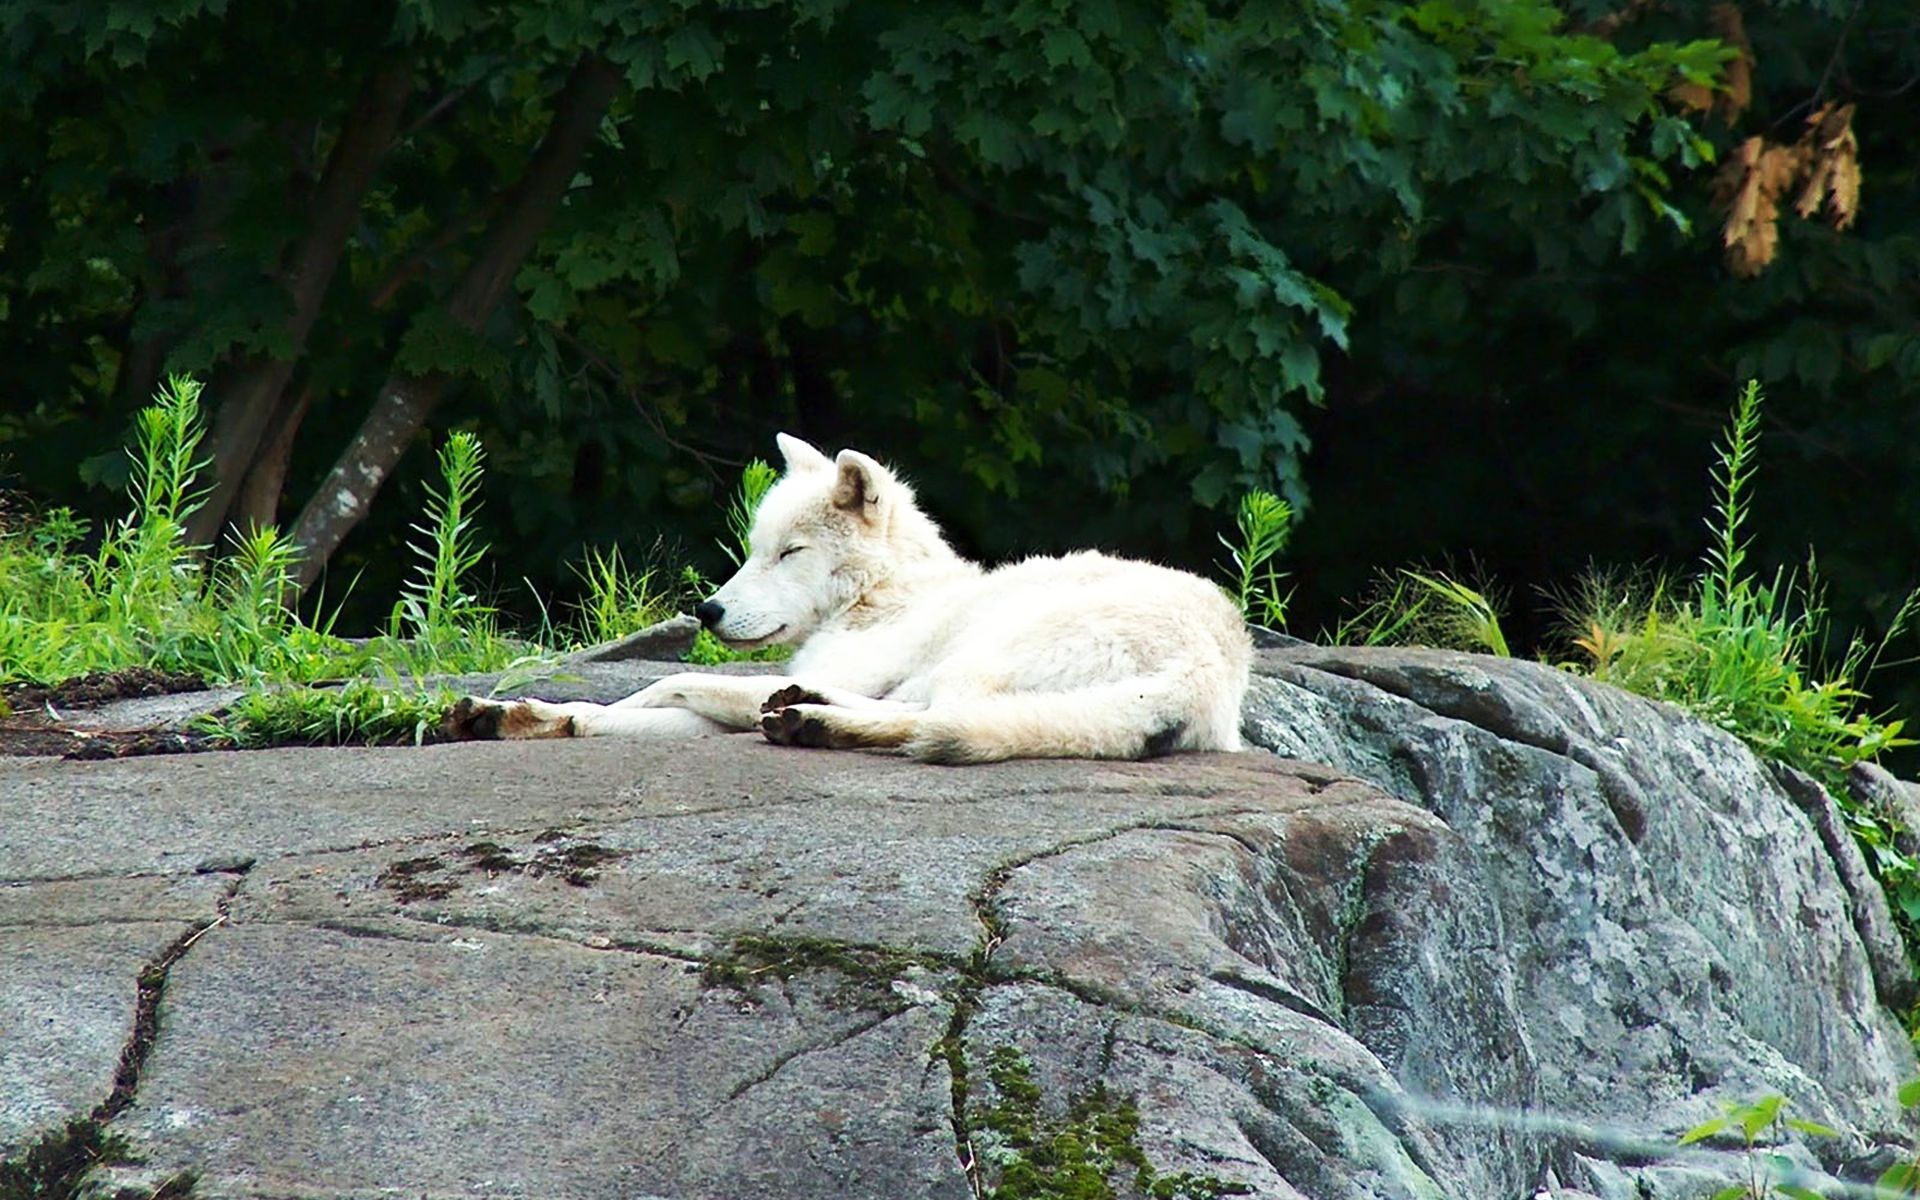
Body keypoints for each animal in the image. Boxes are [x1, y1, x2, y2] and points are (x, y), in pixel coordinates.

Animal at [449, 435, 1259, 764]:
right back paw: (807, 715)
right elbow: (613, 712)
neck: (883, 595)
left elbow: (664, 682)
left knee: (934, 720)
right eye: (753, 549)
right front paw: (513, 716)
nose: (708, 612)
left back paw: (812, 716)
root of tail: (1211, 673)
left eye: (790, 553)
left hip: (983, 651)